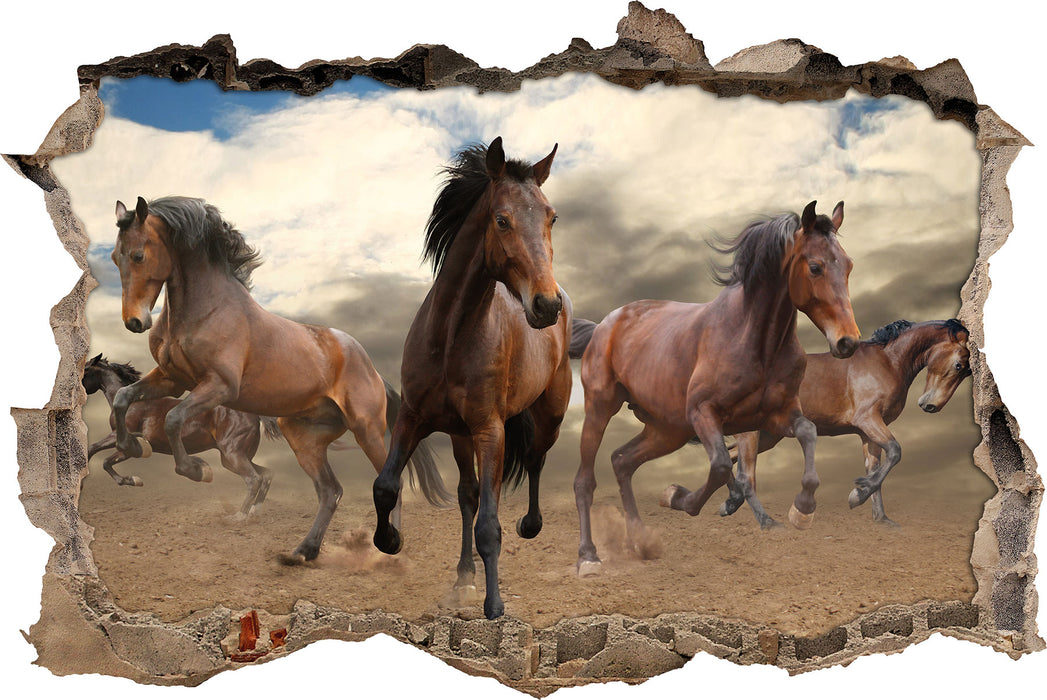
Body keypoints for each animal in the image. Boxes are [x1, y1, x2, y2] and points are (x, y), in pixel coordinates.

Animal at [82, 353, 280, 518]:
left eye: (85, 369)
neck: (132, 404)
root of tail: (254, 415)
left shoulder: (119, 435)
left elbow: (98, 452)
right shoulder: (131, 446)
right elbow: (105, 460)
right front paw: (133, 480)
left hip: (233, 454)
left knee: (253, 479)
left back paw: (239, 516)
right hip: (233, 457)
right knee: (266, 474)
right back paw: (254, 510)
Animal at [109, 196, 450, 563]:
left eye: (138, 255)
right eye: (115, 257)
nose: (134, 322)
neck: (207, 310)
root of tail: (372, 369)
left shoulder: (218, 386)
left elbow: (172, 418)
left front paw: (198, 470)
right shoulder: (172, 380)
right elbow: (123, 399)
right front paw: (133, 447)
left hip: (367, 430)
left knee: (388, 484)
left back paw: (389, 547)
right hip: (304, 437)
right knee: (330, 491)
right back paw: (304, 552)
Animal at [372, 137, 572, 620]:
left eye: (552, 217)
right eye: (501, 219)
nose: (546, 305)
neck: (450, 337)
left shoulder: (490, 431)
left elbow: (489, 525)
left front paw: (494, 605)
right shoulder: (412, 418)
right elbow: (386, 486)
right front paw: (389, 541)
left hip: (548, 415)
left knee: (534, 459)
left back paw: (529, 526)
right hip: (459, 435)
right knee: (467, 493)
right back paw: (463, 577)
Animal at [570, 201, 860, 575]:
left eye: (848, 265)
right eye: (815, 266)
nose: (848, 342)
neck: (755, 342)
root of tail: (603, 326)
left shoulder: (777, 415)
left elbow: (807, 432)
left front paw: (803, 509)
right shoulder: (704, 413)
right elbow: (722, 464)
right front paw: (680, 497)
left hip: (668, 430)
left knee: (621, 461)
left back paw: (640, 541)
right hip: (601, 407)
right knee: (585, 480)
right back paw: (589, 557)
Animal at [722, 319, 972, 527]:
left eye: (967, 372)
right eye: (958, 365)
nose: (930, 406)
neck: (887, 362)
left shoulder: (868, 433)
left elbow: (875, 468)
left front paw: (880, 518)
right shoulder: (868, 420)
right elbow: (895, 452)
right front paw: (857, 495)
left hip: (767, 437)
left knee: (729, 459)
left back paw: (729, 505)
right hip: (752, 434)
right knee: (746, 477)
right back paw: (768, 523)